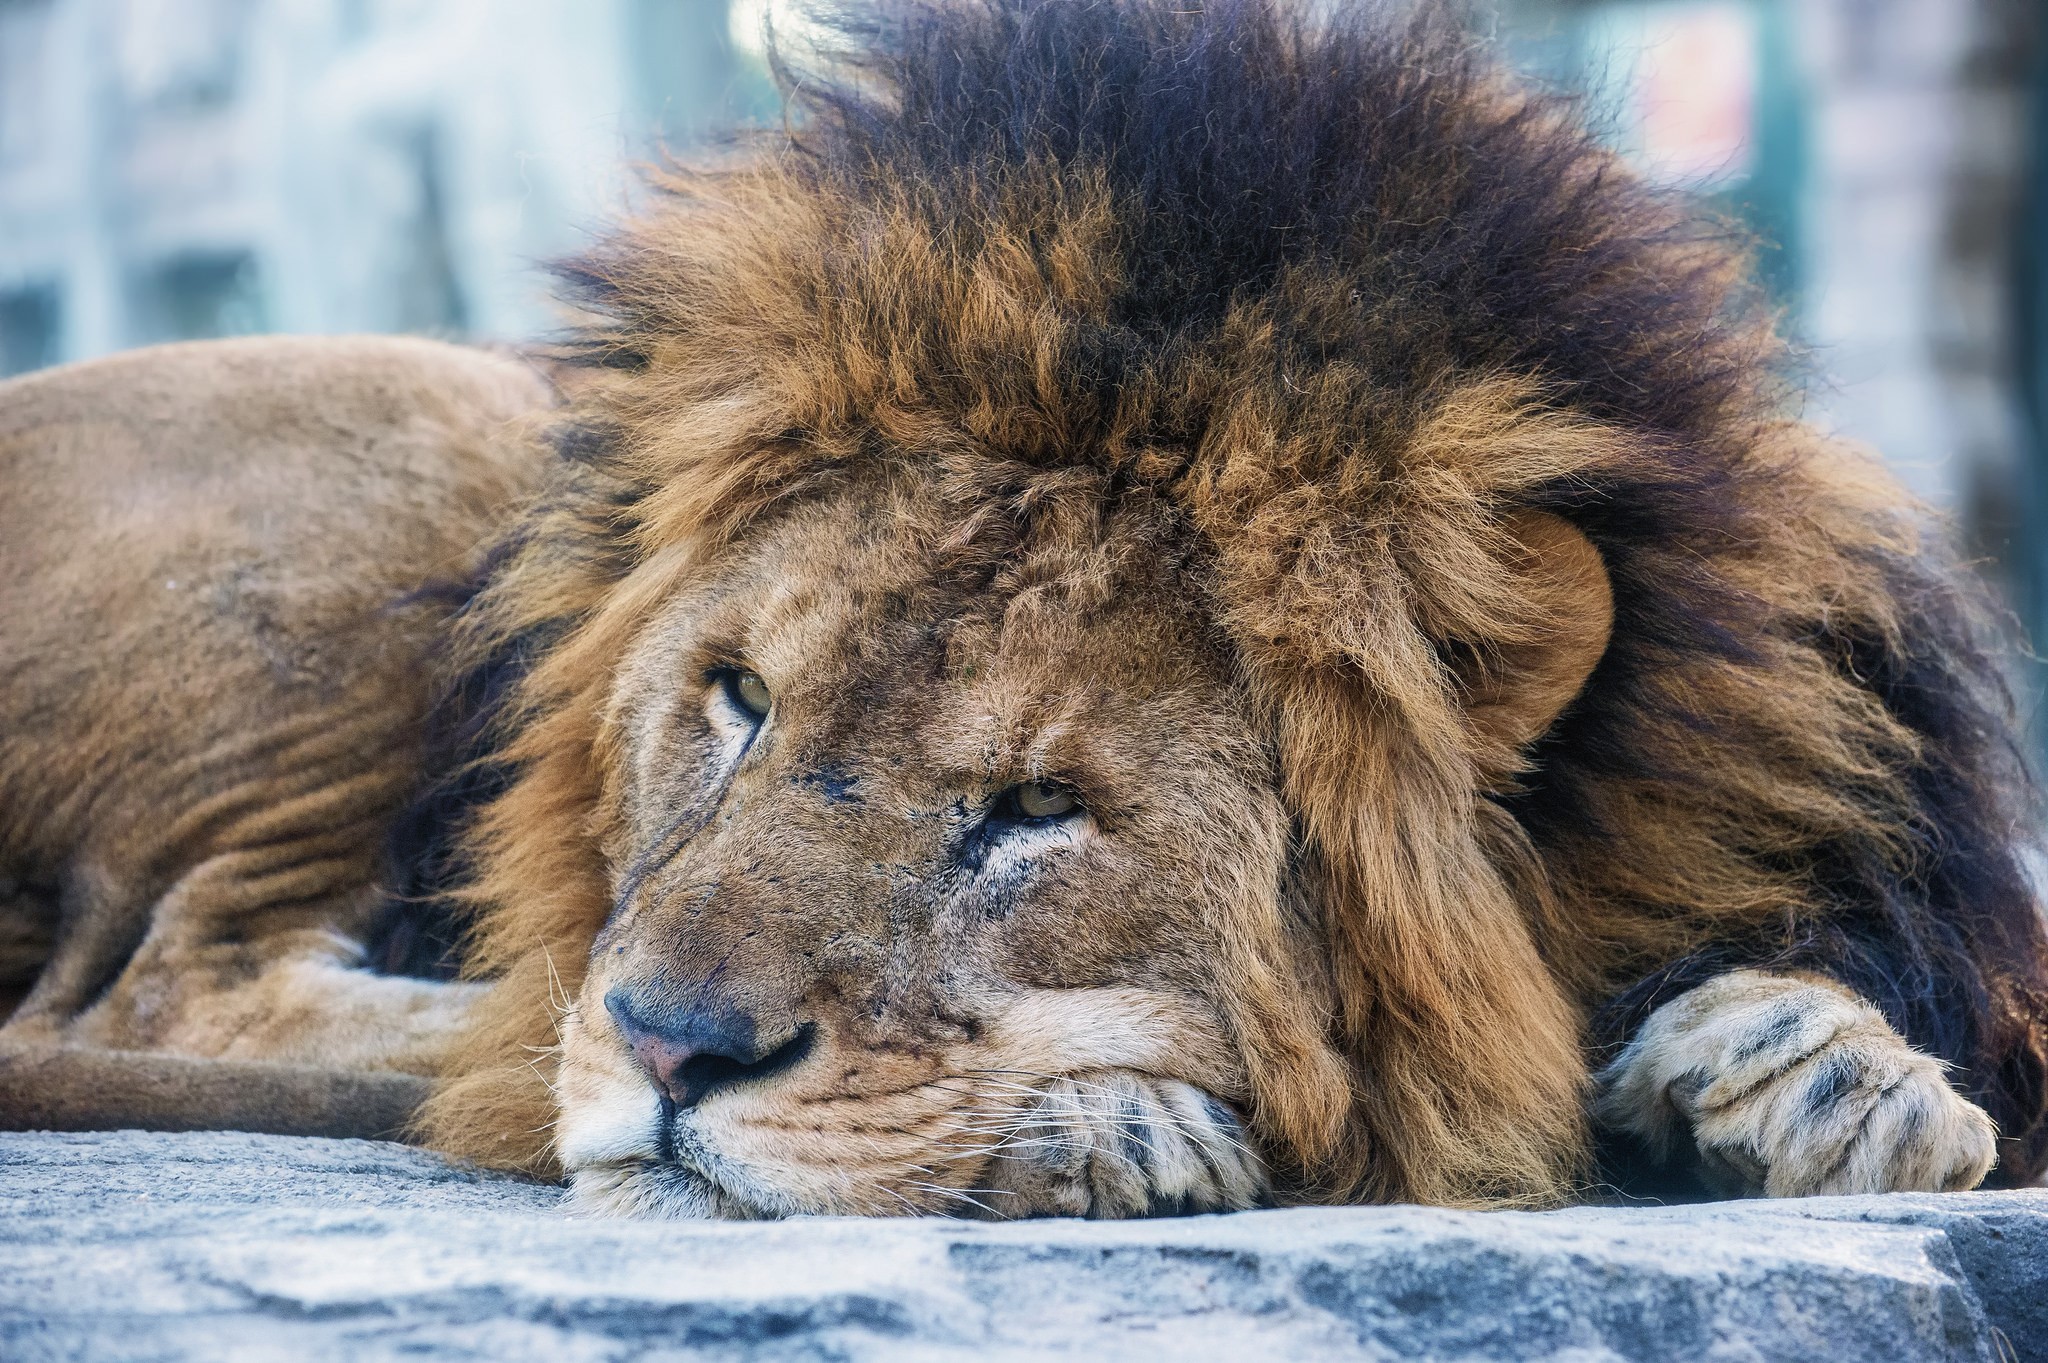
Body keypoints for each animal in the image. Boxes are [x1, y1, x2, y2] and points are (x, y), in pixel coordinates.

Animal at [5, 0, 2046, 1216]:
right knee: (181, 989)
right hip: (439, 434)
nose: (664, 1046)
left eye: (1036, 811)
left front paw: (1821, 1081)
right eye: (738, 697)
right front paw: (1109, 1116)